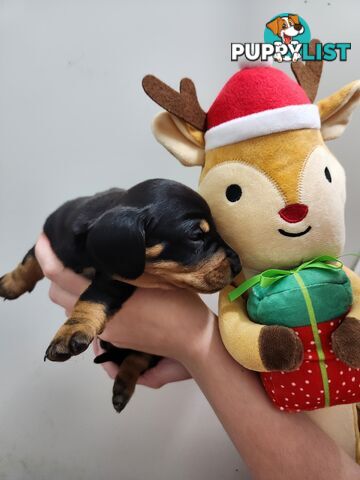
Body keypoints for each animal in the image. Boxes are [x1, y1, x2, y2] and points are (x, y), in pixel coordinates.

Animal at [0, 180, 242, 412]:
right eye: (196, 235)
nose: (238, 265)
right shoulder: (53, 235)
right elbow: (29, 260)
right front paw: (10, 284)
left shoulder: (117, 281)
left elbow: (95, 297)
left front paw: (72, 331)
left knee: (140, 357)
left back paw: (123, 386)